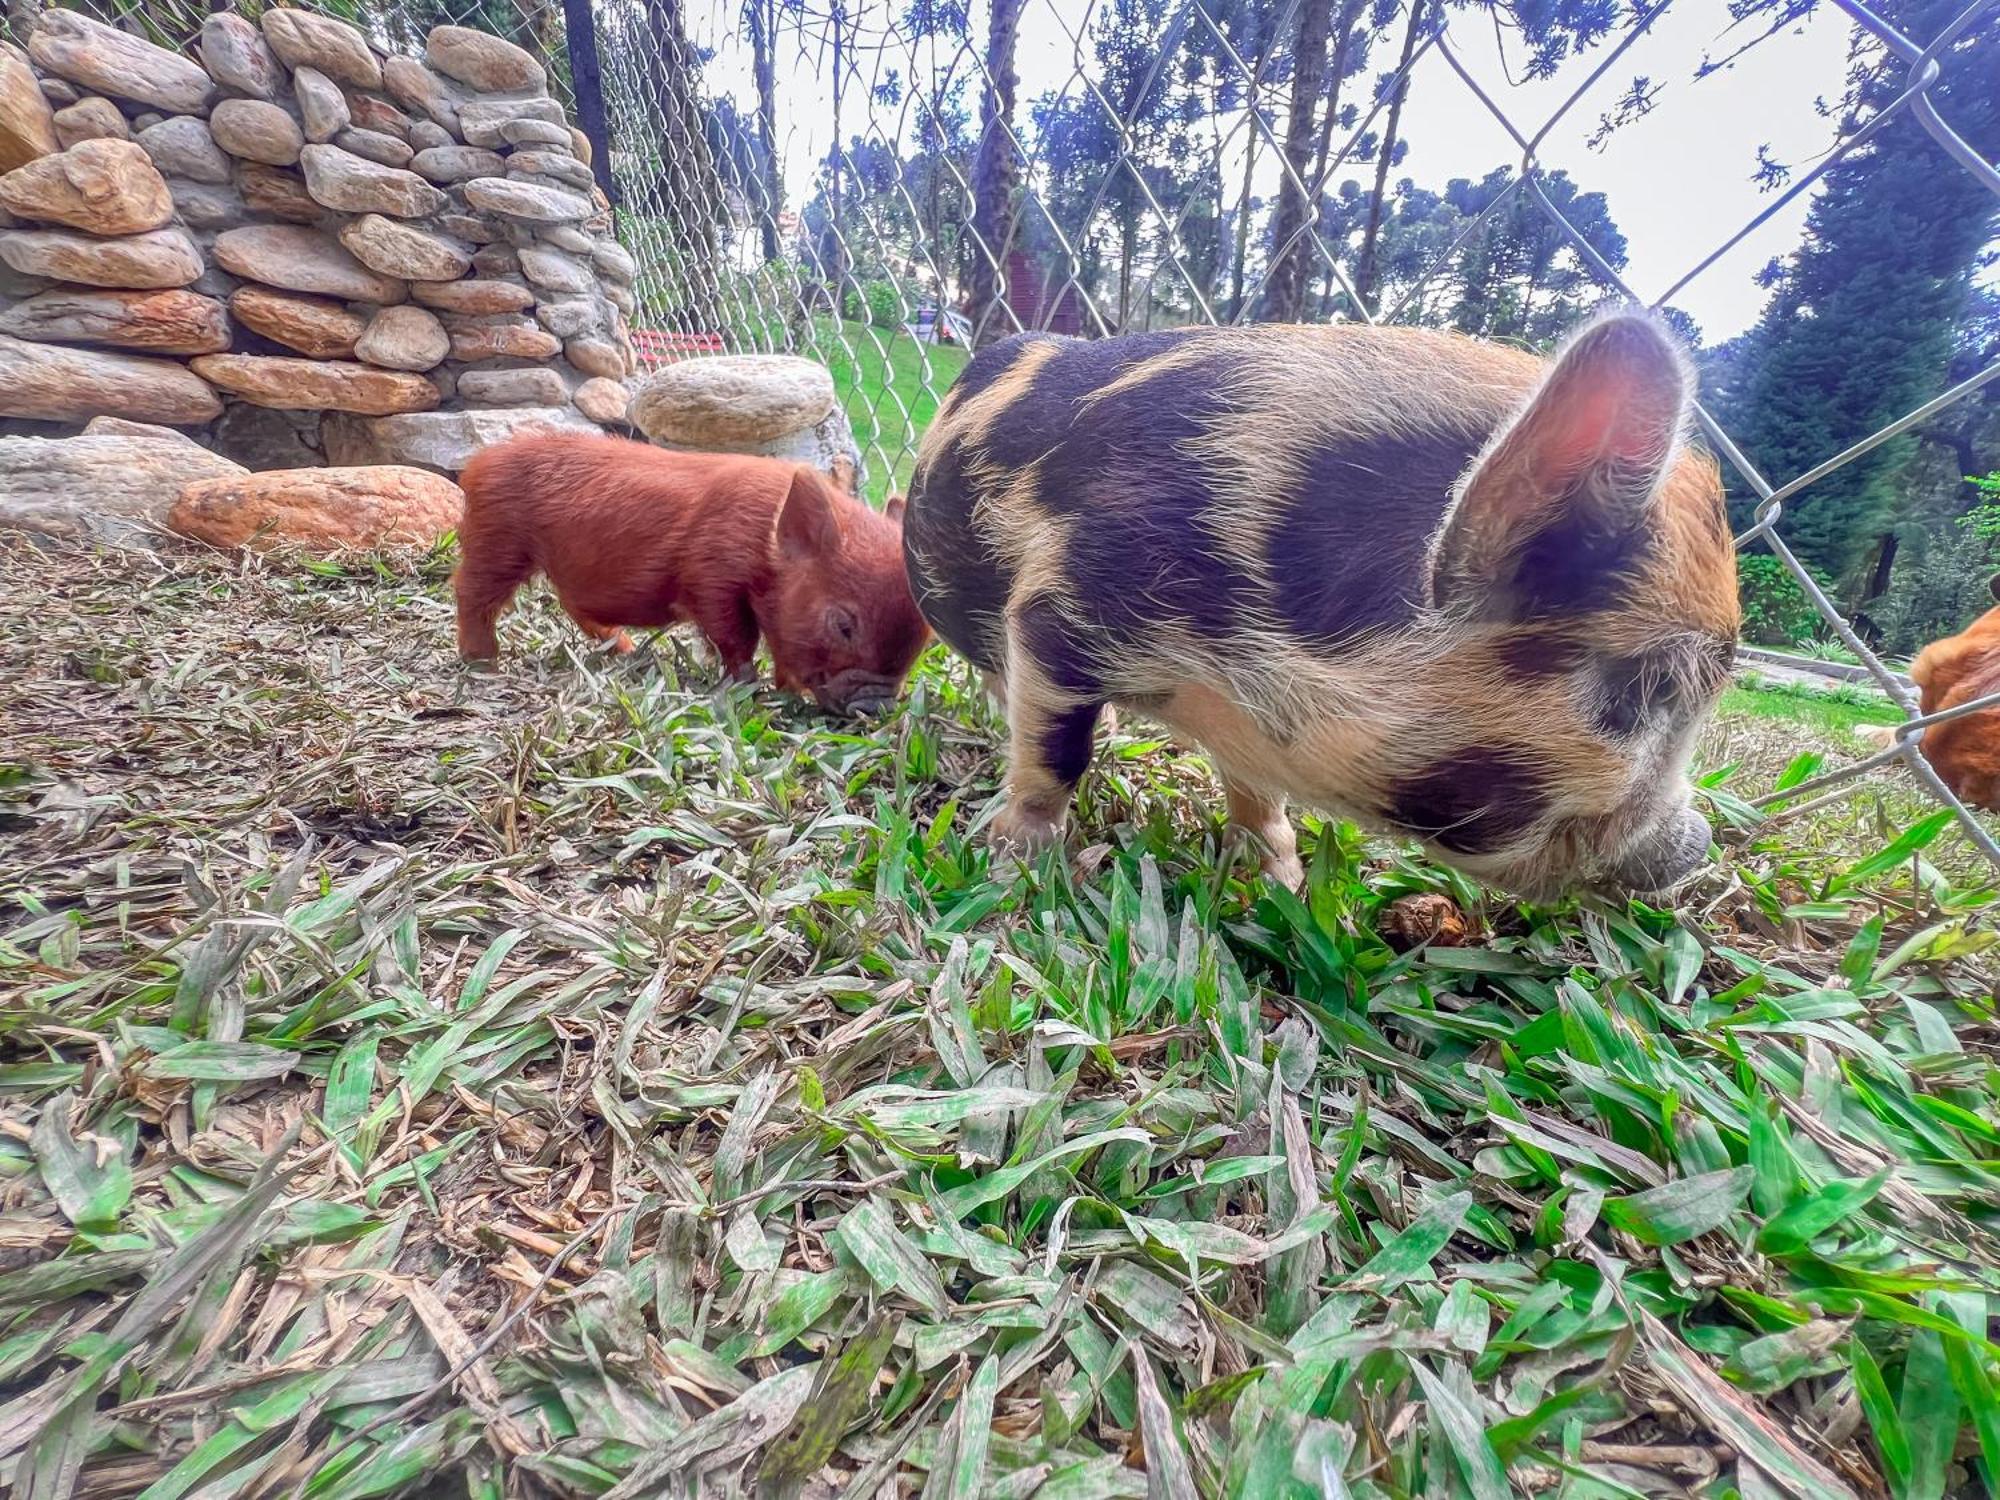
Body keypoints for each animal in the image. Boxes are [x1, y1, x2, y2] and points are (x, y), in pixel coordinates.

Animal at [900, 312, 1744, 900]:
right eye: (1650, 690)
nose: (1698, 843)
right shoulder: (1060, 606)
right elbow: (1055, 751)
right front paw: (1014, 861)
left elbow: (1256, 794)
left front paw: (1282, 879)